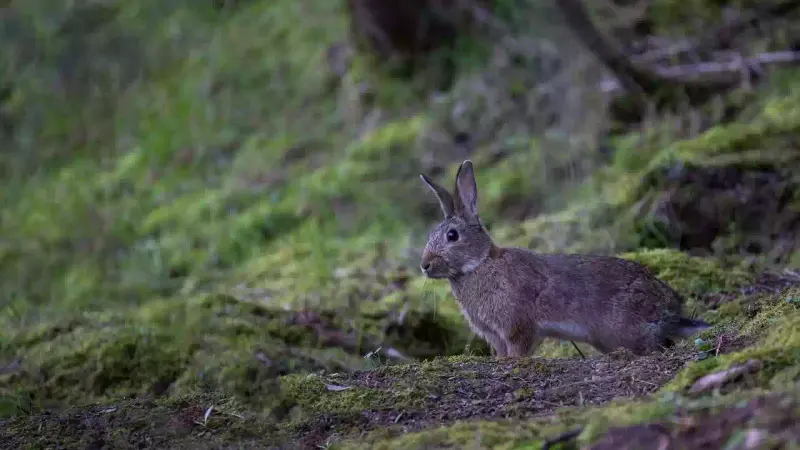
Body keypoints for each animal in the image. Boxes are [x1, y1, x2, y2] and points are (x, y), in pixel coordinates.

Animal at [419, 160, 711, 357]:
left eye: (452, 235)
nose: (425, 265)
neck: (479, 265)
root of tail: (671, 312)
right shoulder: (495, 335)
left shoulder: (517, 325)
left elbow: (518, 350)